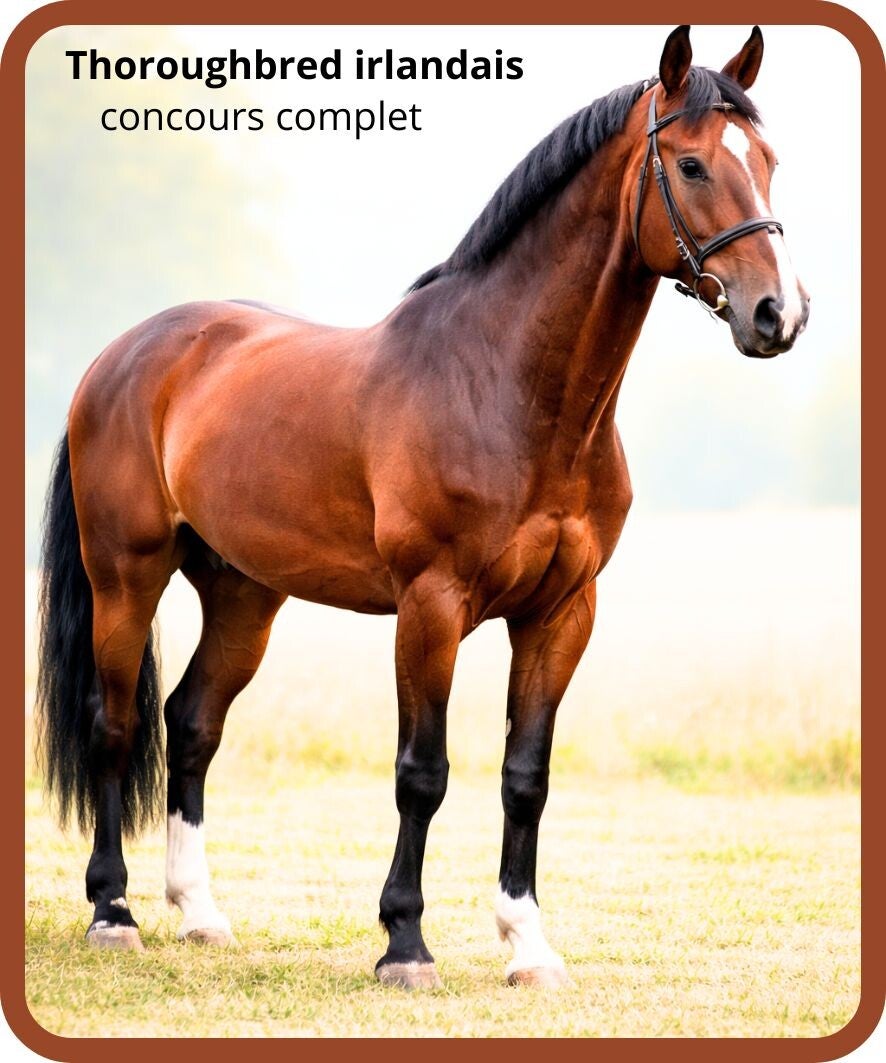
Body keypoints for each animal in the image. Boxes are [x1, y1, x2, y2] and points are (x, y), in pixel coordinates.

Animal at [36, 25, 809, 989]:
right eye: (695, 164)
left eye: (768, 161)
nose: (778, 314)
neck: (508, 387)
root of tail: (120, 357)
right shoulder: (430, 605)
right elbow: (423, 771)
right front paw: (404, 942)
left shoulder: (563, 612)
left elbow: (526, 774)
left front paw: (528, 945)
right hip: (125, 577)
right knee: (117, 723)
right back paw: (113, 910)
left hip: (244, 594)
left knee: (191, 723)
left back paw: (201, 913)